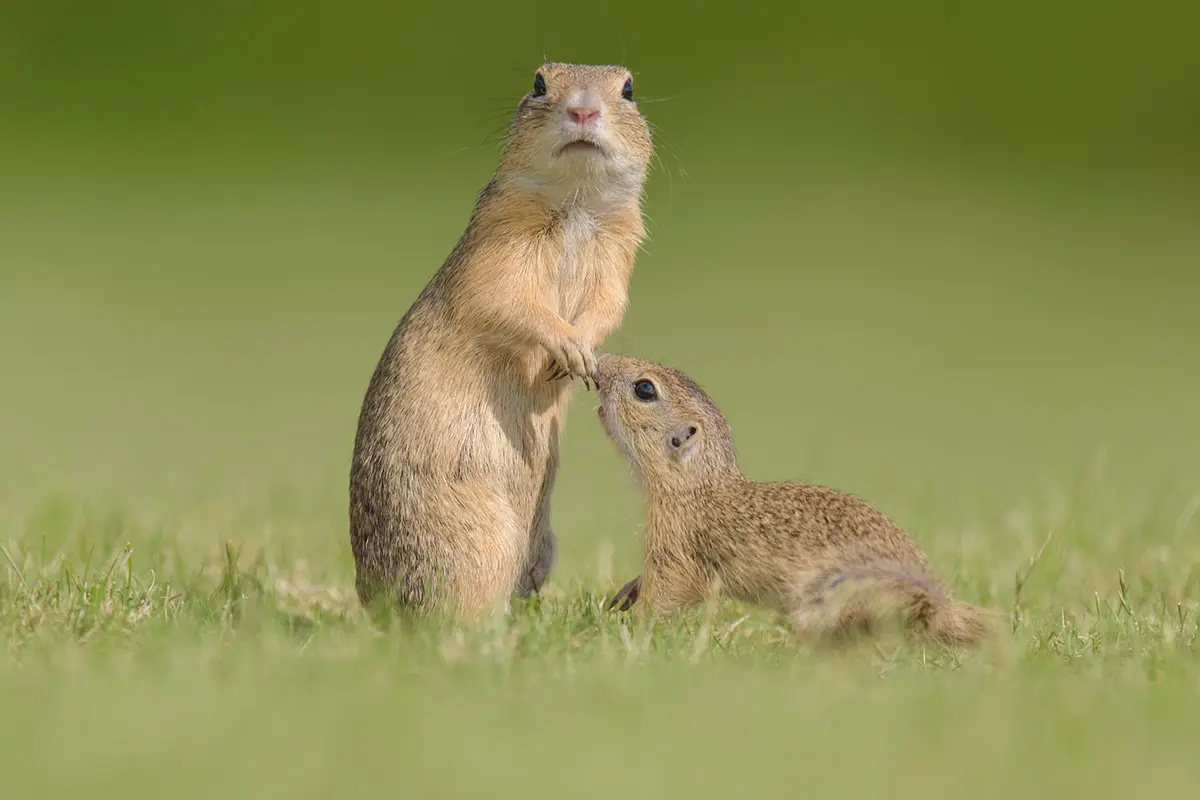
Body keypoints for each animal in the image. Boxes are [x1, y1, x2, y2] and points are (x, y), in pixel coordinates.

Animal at [349, 64, 654, 621]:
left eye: (628, 88)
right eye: (538, 82)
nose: (583, 109)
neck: (576, 204)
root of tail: (375, 604)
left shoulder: (620, 249)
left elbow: (609, 303)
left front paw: (580, 355)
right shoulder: (500, 238)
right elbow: (503, 296)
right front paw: (566, 347)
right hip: (478, 543)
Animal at [595, 353, 999, 646]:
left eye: (644, 389)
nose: (601, 360)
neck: (699, 486)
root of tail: (945, 607)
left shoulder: (677, 551)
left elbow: (666, 595)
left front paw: (627, 626)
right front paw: (625, 594)